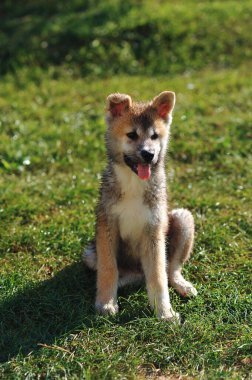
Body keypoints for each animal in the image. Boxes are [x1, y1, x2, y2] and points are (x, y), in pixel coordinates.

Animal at [82, 91, 197, 320]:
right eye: (131, 135)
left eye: (155, 136)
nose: (148, 154)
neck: (134, 184)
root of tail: (137, 272)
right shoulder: (106, 226)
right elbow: (108, 269)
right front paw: (106, 303)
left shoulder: (153, 230)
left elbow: (159, 276)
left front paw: (164, 313)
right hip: (90, 253)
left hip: (183, 218)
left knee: (171, 269)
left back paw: (182, 285)